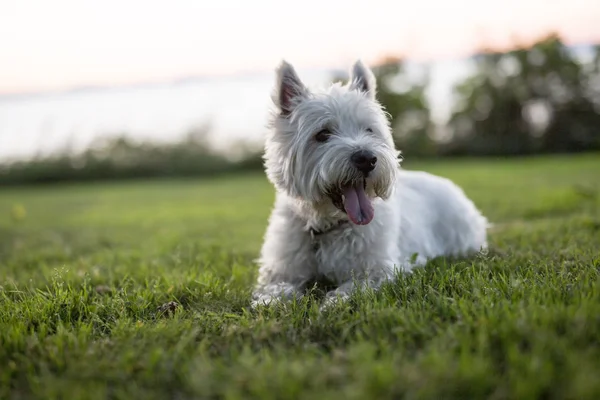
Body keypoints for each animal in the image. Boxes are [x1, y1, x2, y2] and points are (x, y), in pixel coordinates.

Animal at [248, 60, 488, 310]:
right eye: (323, 134)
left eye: (369, 130)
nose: (367, 159)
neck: (327, 227)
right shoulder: (282, 269)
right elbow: (277, 286)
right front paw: (271, 302)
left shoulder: (378, 269)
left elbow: (353, 286)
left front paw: (333, 303)